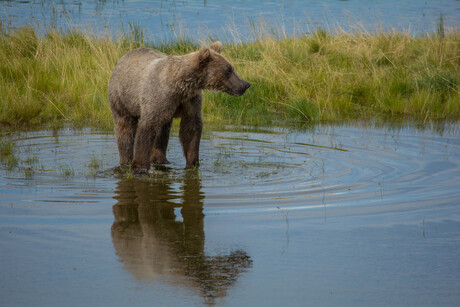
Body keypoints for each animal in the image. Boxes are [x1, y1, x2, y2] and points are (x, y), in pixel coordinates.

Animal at [108, 41, 250, 173]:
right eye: (229, 69)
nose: (245, 84)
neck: (181, 85)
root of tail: (123, 58)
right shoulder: (159, 97)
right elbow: (147, 128)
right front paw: (140, 168)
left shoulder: (189, 101)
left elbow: (191, 129)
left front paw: (193, 163)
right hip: (121, 98)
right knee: (125, 129)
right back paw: (126, 160)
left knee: (163, 131)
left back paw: (161, 159)